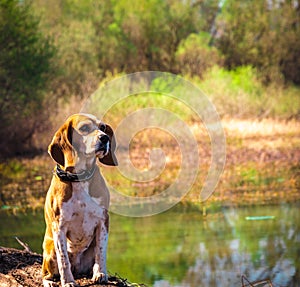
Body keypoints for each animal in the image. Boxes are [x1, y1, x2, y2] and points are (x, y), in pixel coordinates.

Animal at [42, 113, 117, 286]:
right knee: (46, 274)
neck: (80, 178)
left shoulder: (103, 221)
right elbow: (63, 260)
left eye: (103, 127)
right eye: (84, 128)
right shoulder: (59, 226)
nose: (105, 138)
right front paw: (68, 281)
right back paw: (50, 281)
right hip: (49, 250)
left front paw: (101, 273)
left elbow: (101, 252)